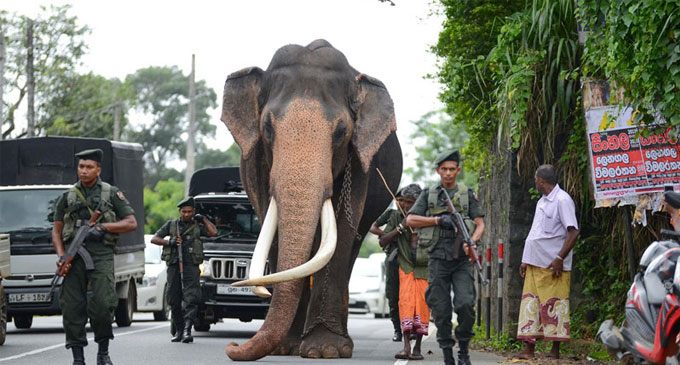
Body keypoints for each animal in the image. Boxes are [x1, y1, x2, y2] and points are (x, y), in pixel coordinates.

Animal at [223, 39, 402, 358]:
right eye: (267, 128)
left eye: (342, 132)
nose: (232, 346)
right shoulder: (256, 163)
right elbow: (273, 230)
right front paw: (285, 348)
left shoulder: (360, 162)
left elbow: (342, 230)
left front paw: (326, 350)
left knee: (350, 248)